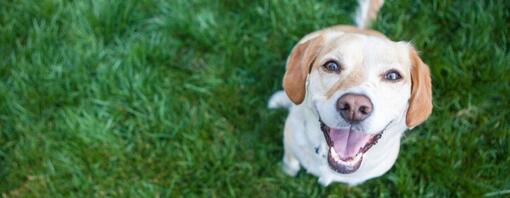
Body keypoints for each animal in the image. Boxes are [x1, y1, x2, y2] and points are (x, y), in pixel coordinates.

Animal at [268, 0, 432, 186]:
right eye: (332, 66)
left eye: (392, 76)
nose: (354, 106)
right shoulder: (290, 146)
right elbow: (290, 163)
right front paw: (287, 172)